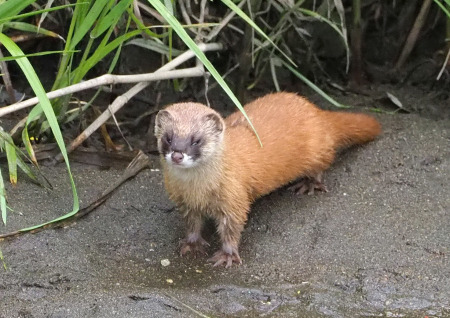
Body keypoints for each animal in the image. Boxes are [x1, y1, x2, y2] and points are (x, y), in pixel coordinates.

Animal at [154, 92, 380, 268]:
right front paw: (191, 244)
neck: (197, 191)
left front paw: (227, 256)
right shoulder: (184, 202)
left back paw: (309, 184)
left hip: (316, 153)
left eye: (196, 140)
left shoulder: (234, 198)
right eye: (168, 137)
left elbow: (232, 228)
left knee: (322, 163)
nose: (177, 155)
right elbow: (192, 224)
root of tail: (316, 111)